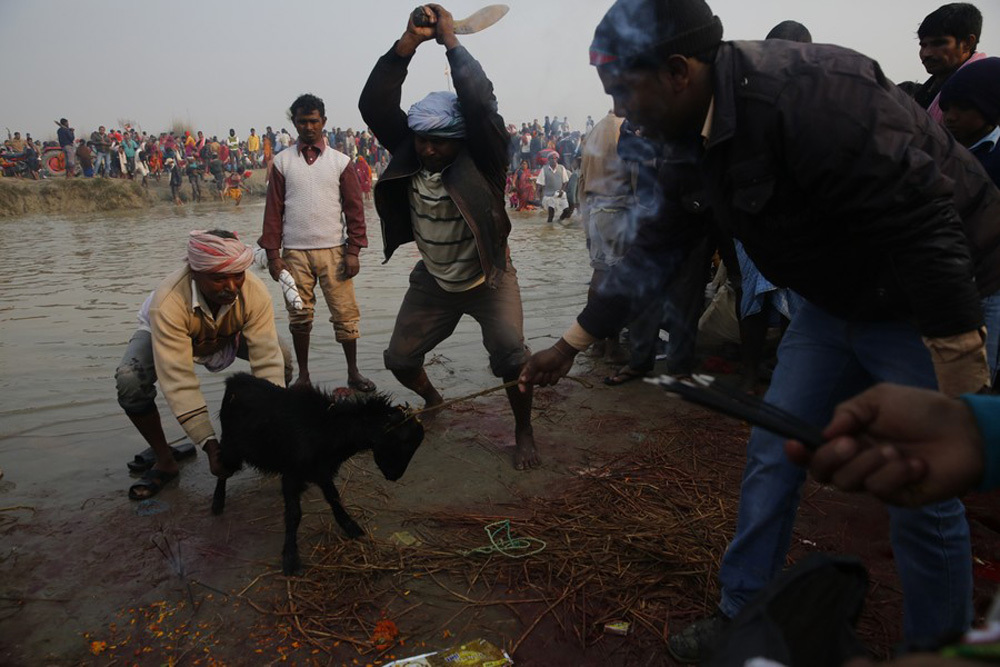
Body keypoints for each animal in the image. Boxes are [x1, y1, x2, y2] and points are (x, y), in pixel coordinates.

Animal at [214, 374, 422, 576]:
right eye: (403, 443)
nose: (395, 475)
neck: (327, 428)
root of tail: (233, 380)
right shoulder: (292, 474)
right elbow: (294, 514)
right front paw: (290, 559)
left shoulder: (322, 472)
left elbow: (334, 498)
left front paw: (351, 527)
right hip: (231, 447)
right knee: (222, 469)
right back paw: (217, 503)